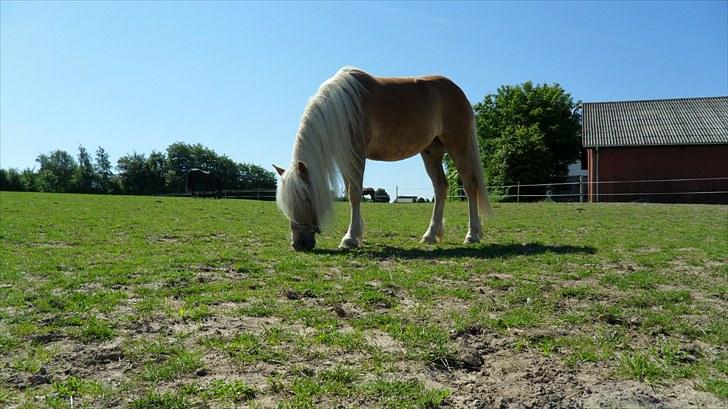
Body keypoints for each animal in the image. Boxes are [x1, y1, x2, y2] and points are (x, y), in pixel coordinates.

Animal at [274, 66, 494, 252]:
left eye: (306, 198)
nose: (299, 244)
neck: (344, 109)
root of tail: (459, 92)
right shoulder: (346, 159)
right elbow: (351, 193)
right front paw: (357, 235)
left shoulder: (357, 155)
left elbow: (355, 194)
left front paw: (349, 239)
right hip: (432, 152)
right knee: (441, 187)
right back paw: (430, 235)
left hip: (459, 147)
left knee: (469, 186)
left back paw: (472, 235)